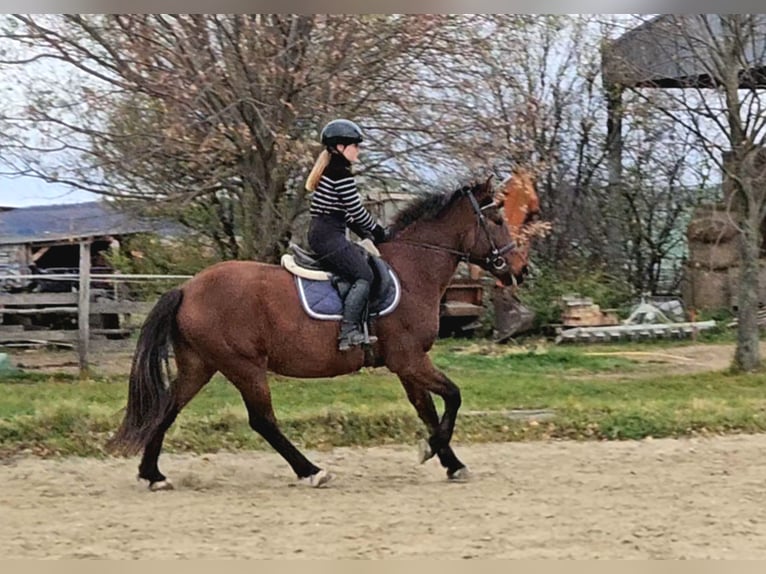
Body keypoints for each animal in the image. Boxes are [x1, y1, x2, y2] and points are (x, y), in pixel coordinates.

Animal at [108, 172, 544, 490]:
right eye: (496, 220)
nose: (520, 270)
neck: (414, 269)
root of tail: (187, 288)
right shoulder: (409, 359)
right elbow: (452, 397)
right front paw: (432, 450)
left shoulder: (407, 364)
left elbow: (428, 409)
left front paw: (451, 462)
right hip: (243, 366)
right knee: (262, 421)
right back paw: (311, 471)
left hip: (201, 364)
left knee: (168, 408)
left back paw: (153, 474)